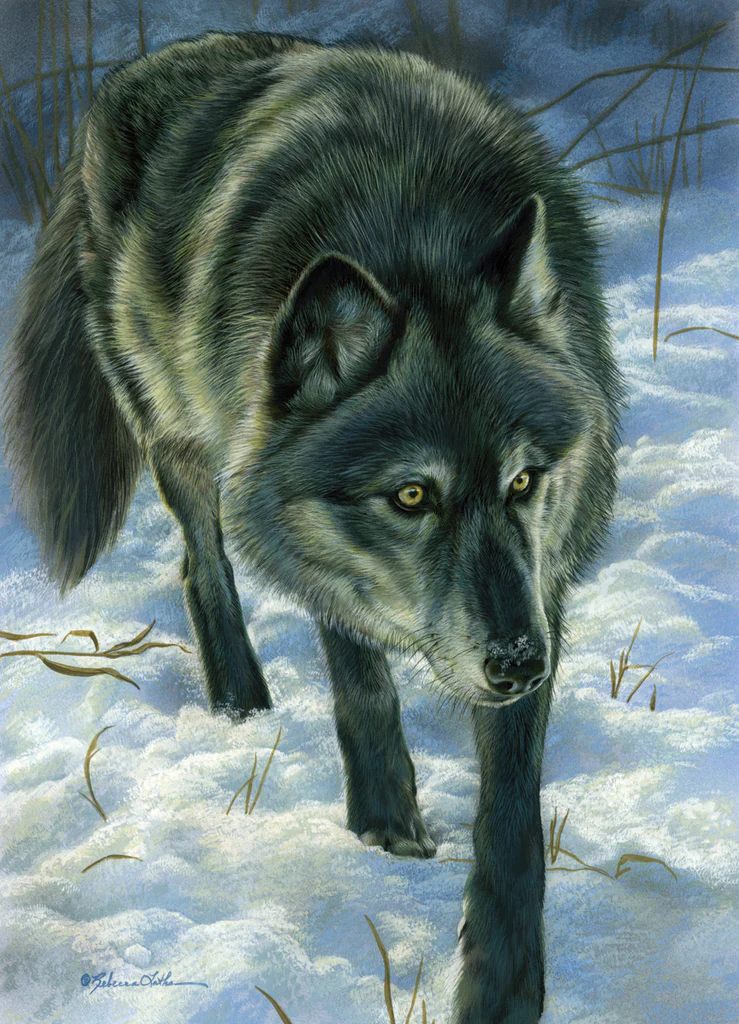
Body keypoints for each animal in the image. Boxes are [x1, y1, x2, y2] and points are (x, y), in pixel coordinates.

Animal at [2, 30, 623, 1023]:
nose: (519, 663)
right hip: (174, 425)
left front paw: (500, 980)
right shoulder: (327, 560)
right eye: (410, 498)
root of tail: (158, 60)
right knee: (201, 564)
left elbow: (512, 810)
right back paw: (238, 701)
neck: (410, 237)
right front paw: (383, 823)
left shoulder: (541, 589)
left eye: (525, 481)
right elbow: (361, 681)